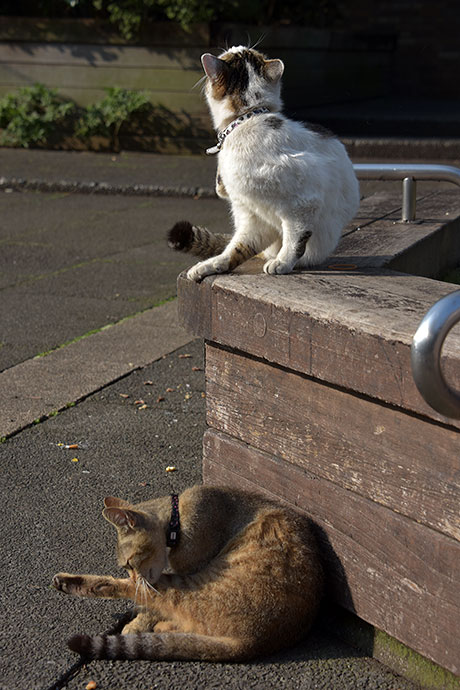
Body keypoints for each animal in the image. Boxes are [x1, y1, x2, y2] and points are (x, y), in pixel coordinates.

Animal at [53, 482, 324, 660]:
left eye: (129, 564)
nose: (132, 575)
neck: (178, 518)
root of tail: (256, 643)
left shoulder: (180, 570)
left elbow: (146, 601)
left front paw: (137, 623)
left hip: (190, 585)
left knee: (125, 589)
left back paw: (68, 582)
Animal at [168, 45, 360, 280]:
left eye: (227, 55)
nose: (235, 46)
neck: (247, 118)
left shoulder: (303, 200)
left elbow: (295, 236)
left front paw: (283, 262)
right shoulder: (252, 214)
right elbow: (237, 249)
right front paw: (212, 265)